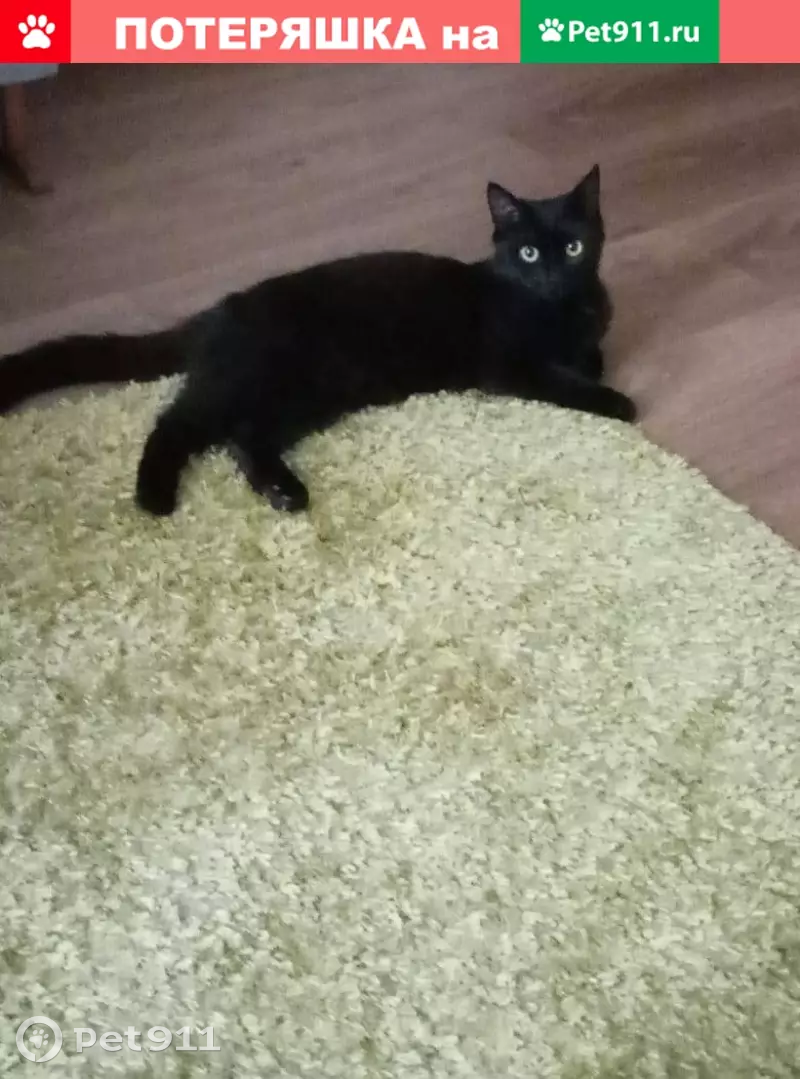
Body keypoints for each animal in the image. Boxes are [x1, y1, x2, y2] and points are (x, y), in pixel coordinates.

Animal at [0, 165, 635, 516]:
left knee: (242, 436)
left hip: (312, 392)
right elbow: (569, 382)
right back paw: (155, 497)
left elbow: (591, 357)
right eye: (527, 252)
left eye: (574, 247)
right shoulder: (508, 364)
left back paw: (283, 492)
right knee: (177, 424)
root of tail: (219, 309)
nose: (551, 273)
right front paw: (619, 402)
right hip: (263, 377)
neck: (560, 309)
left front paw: (592, 360)